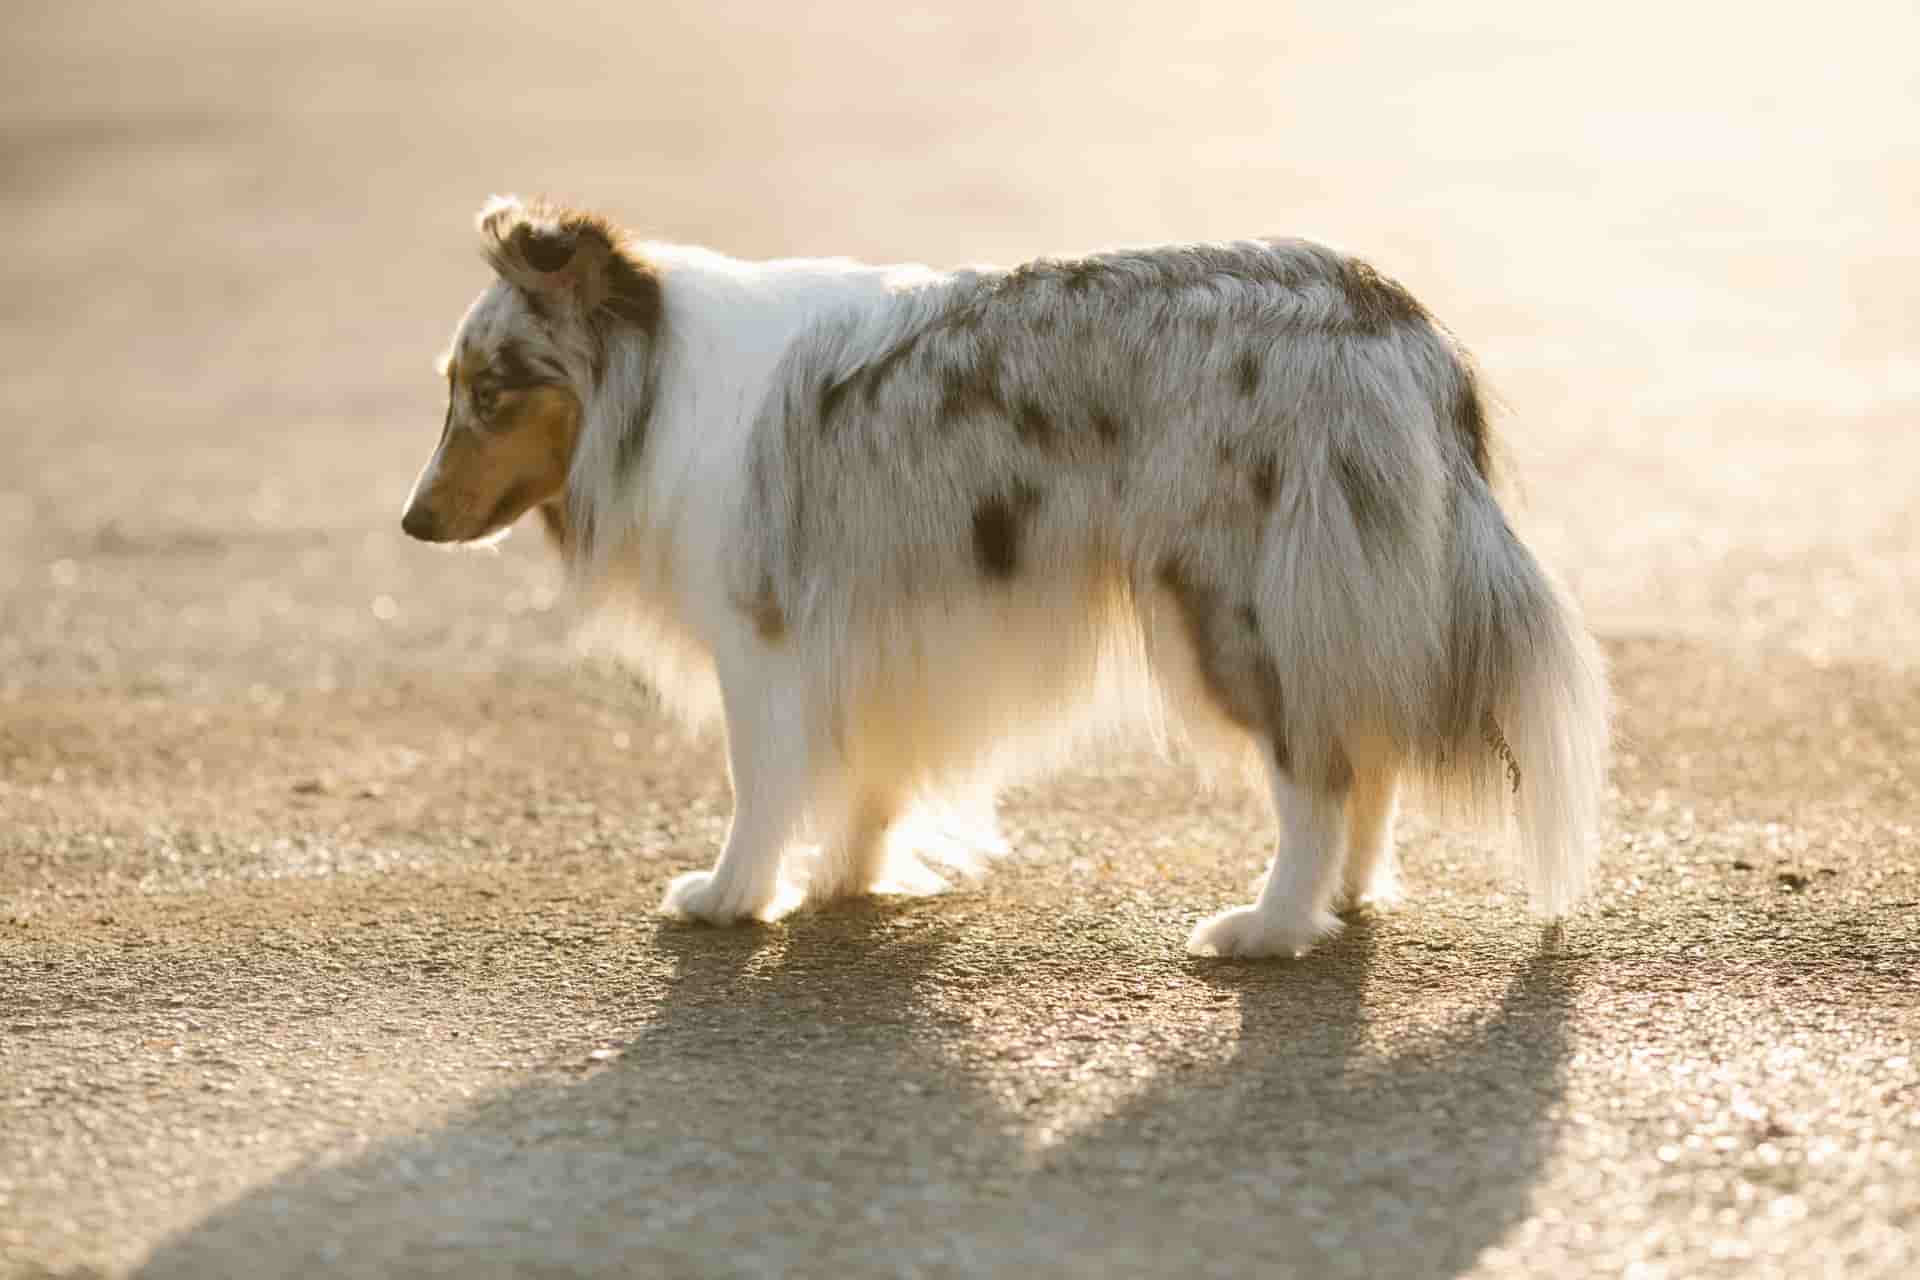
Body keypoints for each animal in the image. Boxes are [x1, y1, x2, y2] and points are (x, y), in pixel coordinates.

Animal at [401, 197, 1605, 959]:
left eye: (493, 392)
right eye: (452, 388)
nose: (411, 522)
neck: (655, 382)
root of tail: (1398, 325)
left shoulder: (764, 637)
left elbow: (759, 782)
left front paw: (732, 896)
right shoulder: (879, 630)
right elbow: (872, 774)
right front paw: (851, 876)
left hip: (1235, 598)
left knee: (1319, 767)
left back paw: (1270, 926)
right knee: (1366, 744)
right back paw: (1343, 900)